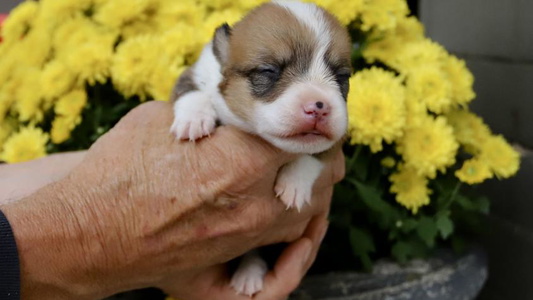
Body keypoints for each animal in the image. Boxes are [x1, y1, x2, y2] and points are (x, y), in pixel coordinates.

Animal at [169, 0, 350, 296]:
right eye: (269, 71)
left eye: (342, 76)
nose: (319, 107)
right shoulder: (195, 74)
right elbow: (191, 90)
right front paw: (193, 119)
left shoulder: (334, 139)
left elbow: (314, 153)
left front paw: (295, 183)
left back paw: (249, 274)